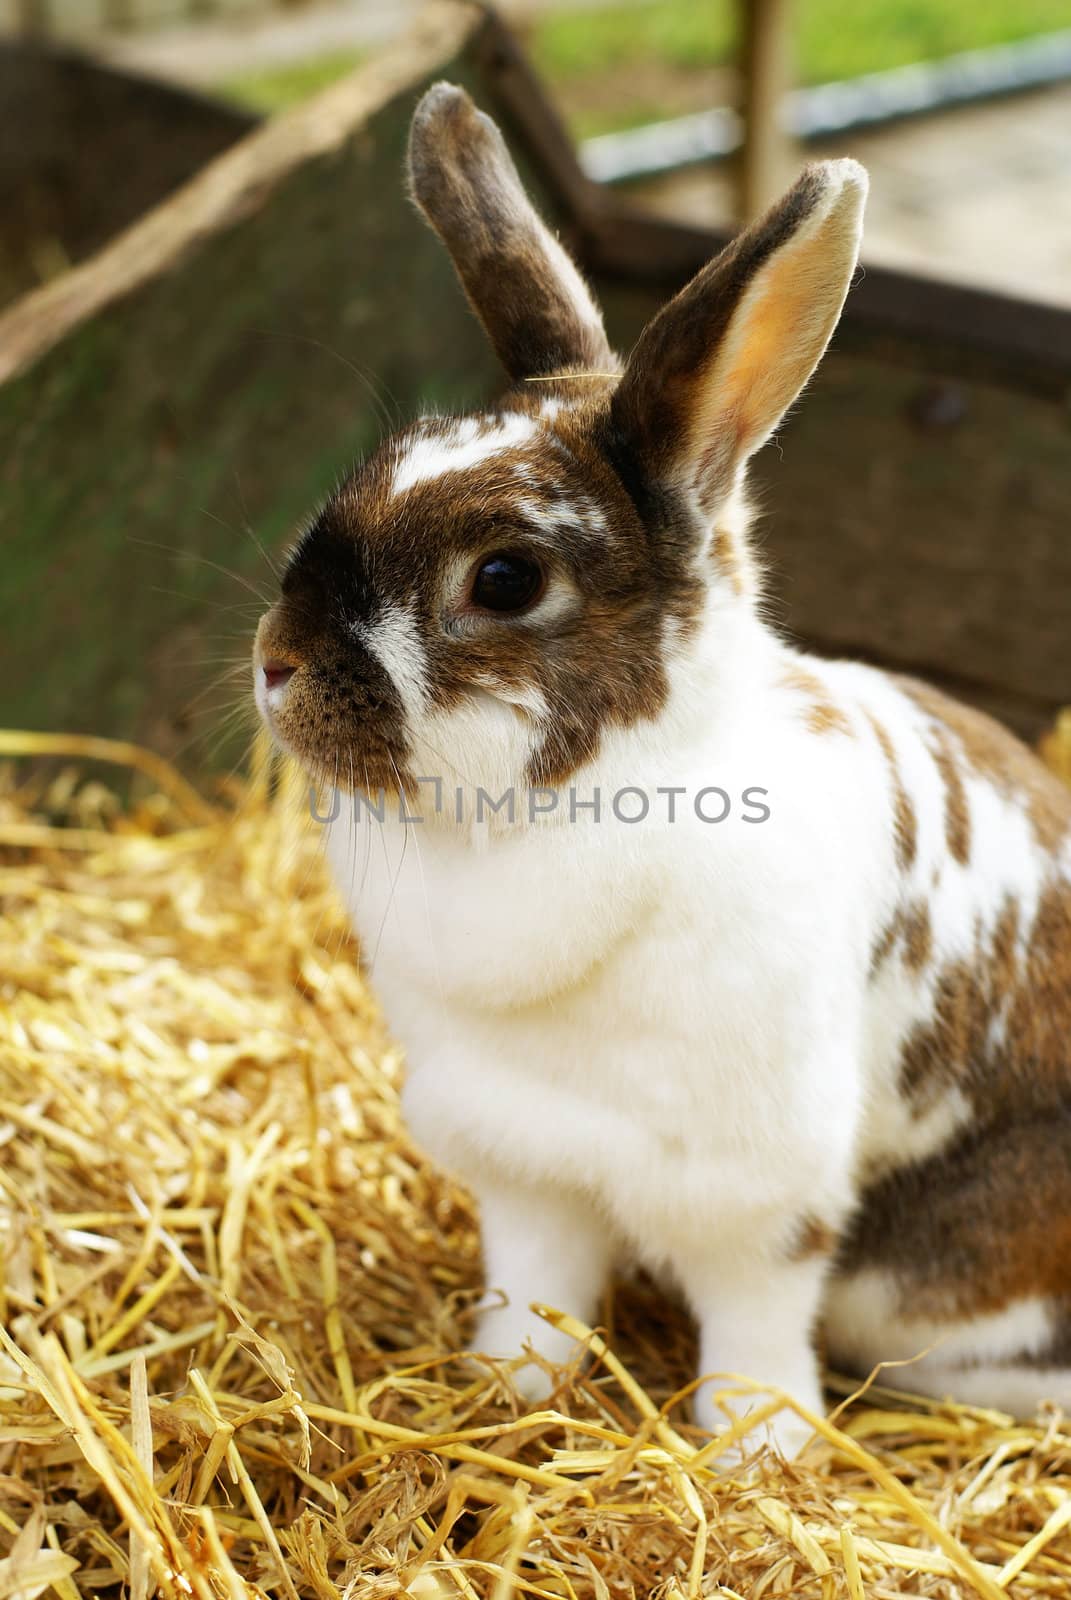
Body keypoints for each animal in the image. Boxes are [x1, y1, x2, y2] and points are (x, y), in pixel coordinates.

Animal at [254, 87, 1069, 1465]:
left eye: (507, 578)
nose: (276, 662)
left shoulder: (762, 1190)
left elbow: (753, 1317)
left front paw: (757, 1451)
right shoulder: (518, 1155)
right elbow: (536, 1289)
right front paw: (505, 1388)